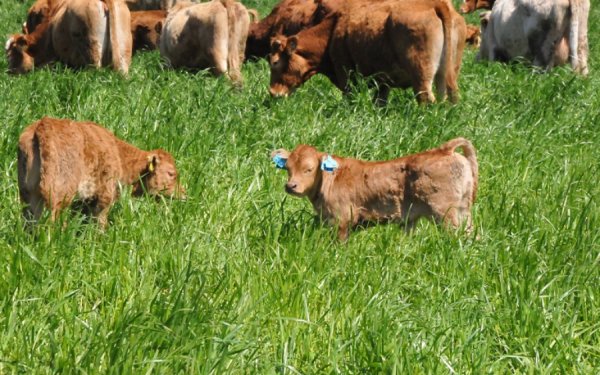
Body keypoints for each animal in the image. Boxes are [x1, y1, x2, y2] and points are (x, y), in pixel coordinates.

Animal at [18, 117, 184, 229]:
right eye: (171, 173)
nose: (183, 193)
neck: (119, 154)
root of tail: (43, 125)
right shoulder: (104, 198)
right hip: (58, 196)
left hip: (28, 195)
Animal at [268, 0, 468, 104]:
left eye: (275, 62)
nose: (273, 93)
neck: (334, 29)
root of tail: (436, 4)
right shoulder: (384, 80)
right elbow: (380, 102)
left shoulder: (346, 74)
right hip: (447, 74)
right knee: (449, 97)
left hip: (421, 74)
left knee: (426, 98)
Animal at [272, 137, 478, 241]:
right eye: (288, 168)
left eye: (309, 169)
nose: (291, 186)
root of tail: (445, 150)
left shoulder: (342, 219)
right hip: (463, 209)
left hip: (446, 212)